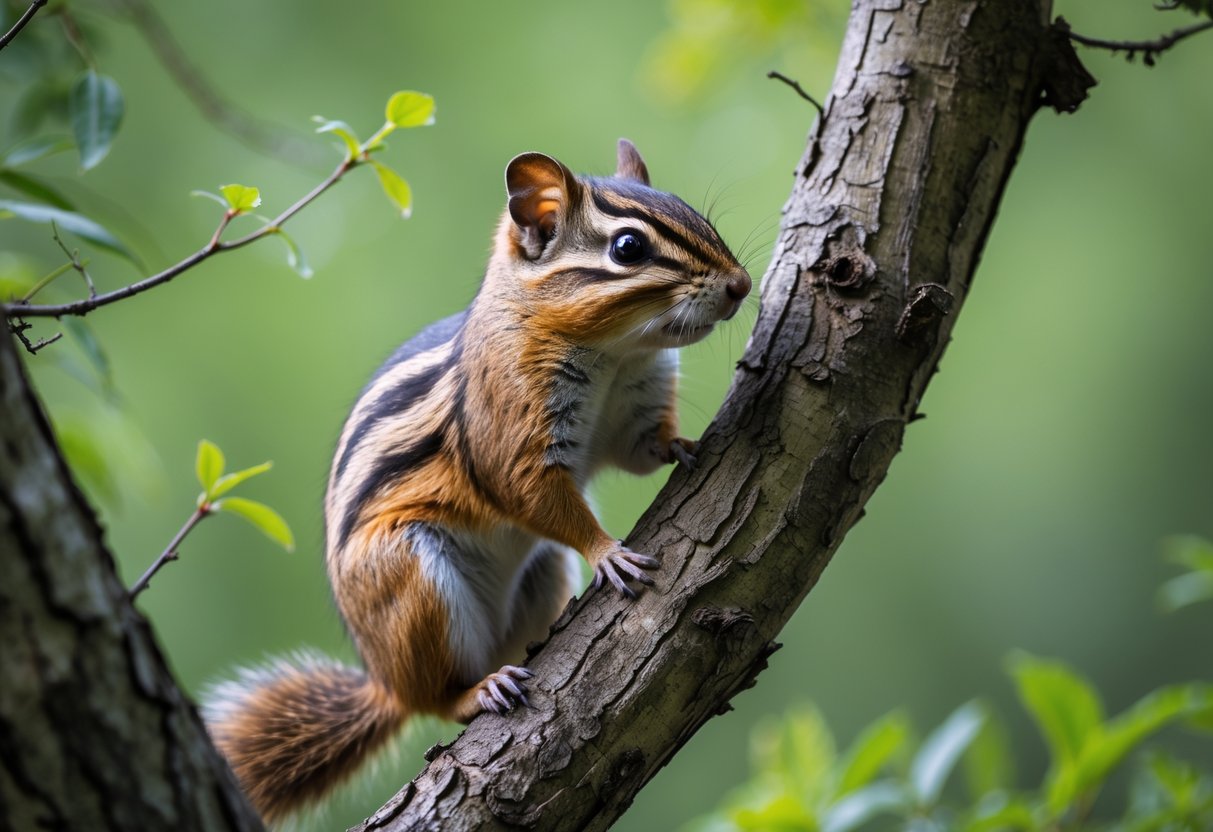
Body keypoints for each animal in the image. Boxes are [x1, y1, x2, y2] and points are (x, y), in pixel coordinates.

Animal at [205, 139, 751, 822]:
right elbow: (529, 492)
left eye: (690, 209)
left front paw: (685, 443)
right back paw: (478, 690)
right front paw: (609, 553)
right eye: (628, 248)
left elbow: (644, 449)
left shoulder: (634, 406)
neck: (615, 354)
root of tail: (386, 681)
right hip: (413, 583)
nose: (742, 285)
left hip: (539, 574)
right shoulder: (509, 429)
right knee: (437, 699)